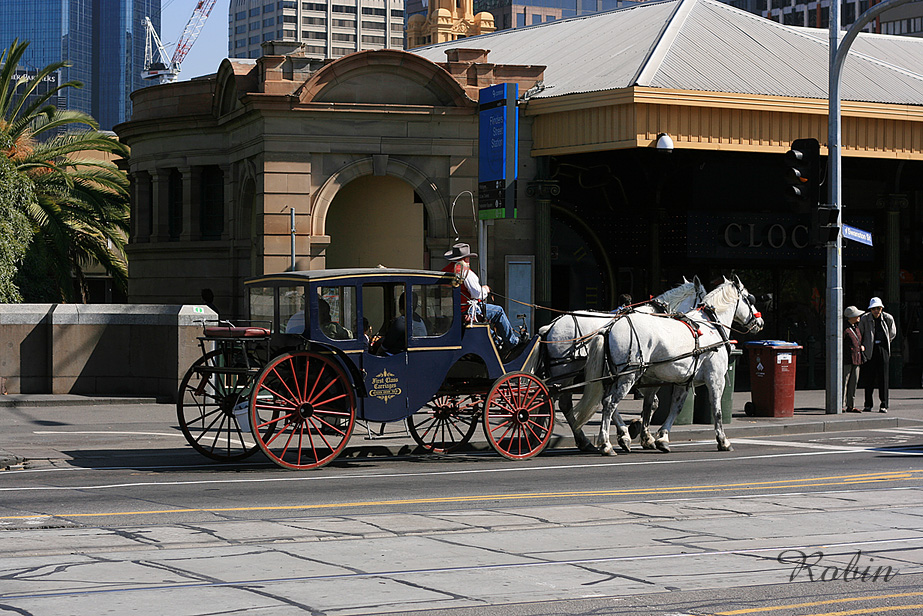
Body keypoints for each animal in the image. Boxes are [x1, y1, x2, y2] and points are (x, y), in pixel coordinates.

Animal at [536, 278, 704, 452]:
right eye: (702, 297)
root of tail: (550, 326)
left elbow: (647, 403)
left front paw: (635, 431)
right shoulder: (634, 373)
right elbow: (645, 403)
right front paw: (635, 432)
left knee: (560, 401)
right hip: (565, 371)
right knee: (552, 398)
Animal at [572, 276, 760, 454]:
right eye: (750, 298)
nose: (760, 322)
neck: (710, 325)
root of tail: (608, 328)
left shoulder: (683, 381)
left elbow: (674, 407)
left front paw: (661, 437)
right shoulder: (715, 378)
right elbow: (717, 410)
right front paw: (723, 440)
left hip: (615, 376)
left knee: (605, 401)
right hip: (628, 376)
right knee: (610, 403)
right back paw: (607, 443)